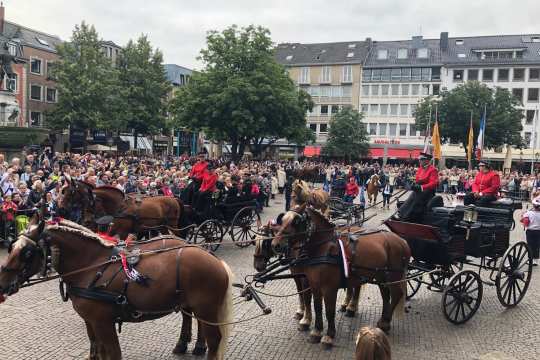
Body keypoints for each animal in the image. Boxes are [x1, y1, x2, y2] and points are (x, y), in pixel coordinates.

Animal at [0, 218, 233, 358]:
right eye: (11, 247)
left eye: (27, 253)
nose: (1, 283)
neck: (91, 265)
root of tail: (212, 257)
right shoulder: (91, 321)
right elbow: (97, 350)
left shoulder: (103, 322)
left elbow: (112, 353)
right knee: (190, 318)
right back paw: (188, 345)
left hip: (207, 308)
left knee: (214, 340)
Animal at [272, 204, 412, 344]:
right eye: (282, 220)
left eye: (296, 222)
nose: (275, 245)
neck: (323, 248)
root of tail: (402, 241)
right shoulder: (314, 285)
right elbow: (317, 307)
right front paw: (316, 331)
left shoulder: (329, 288)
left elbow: (329, 310)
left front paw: (329, 335)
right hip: (381, 277)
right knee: (385, 296)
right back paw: (381, 321)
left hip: (393, 277)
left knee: (396, 294)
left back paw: (384, 322)